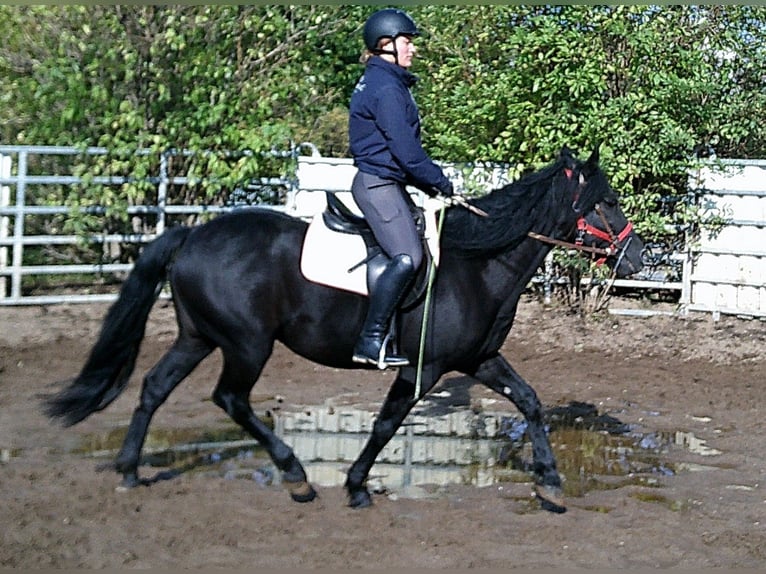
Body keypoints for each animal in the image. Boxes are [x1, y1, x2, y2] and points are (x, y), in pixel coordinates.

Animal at [44, 145, 644, 513]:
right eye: (608, 200)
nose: (636, 257)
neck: (476, 264)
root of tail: (191, 236)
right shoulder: (423, 369)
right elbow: (385, 425)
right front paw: (356, 486)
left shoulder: (478, 360)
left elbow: (531, 402)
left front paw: (551, 484)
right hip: (246, 345)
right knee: (231, 399)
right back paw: (295, 476)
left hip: (199, 338)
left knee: (154, 387)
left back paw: (128, 469)